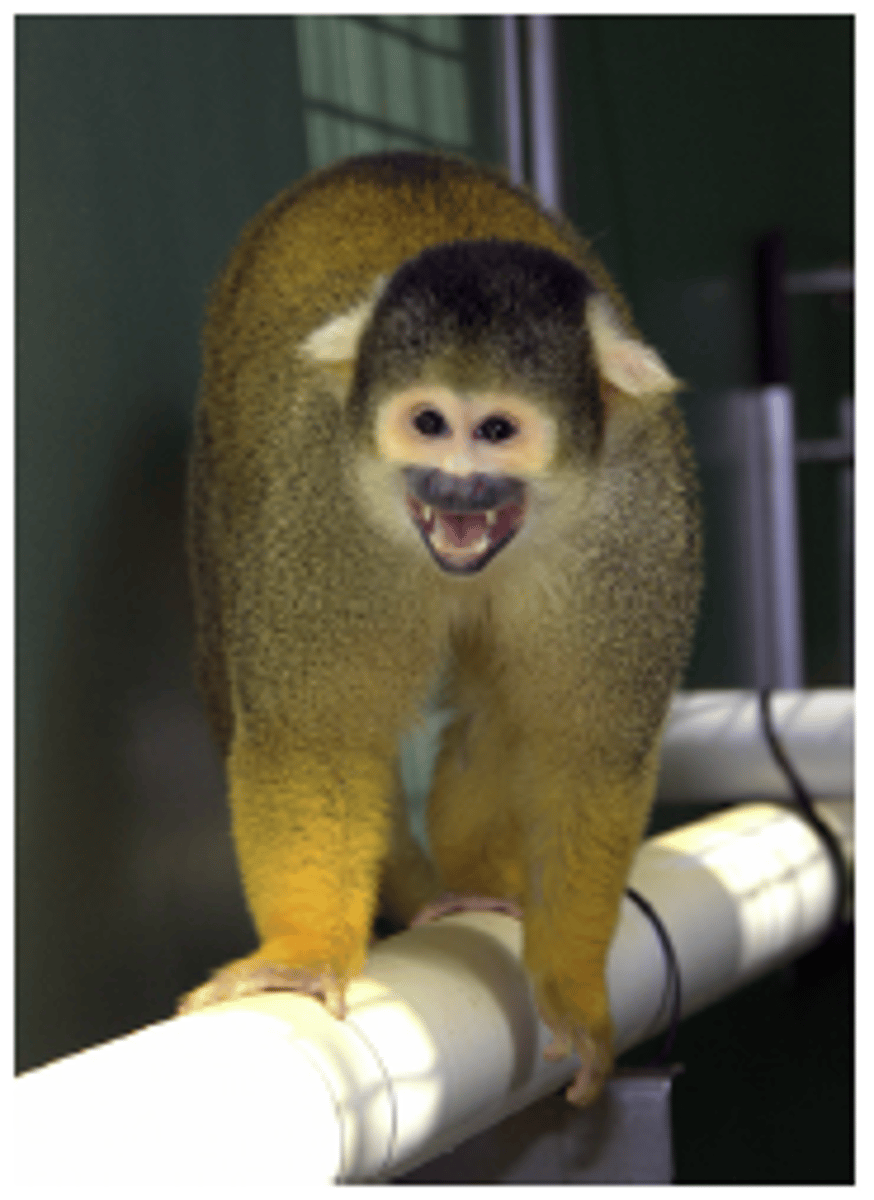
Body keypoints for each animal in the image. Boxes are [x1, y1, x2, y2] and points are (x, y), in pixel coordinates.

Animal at [178, 151, 701, 1107]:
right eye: (427, 424)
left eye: (495, 430)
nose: (452, 486)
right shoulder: (322, 496)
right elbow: (314, 731)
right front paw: (302, 957)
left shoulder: (638, 521)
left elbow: (587, 750)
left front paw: (571, 986)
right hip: (220, 471)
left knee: (500, 710)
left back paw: (474, 884)